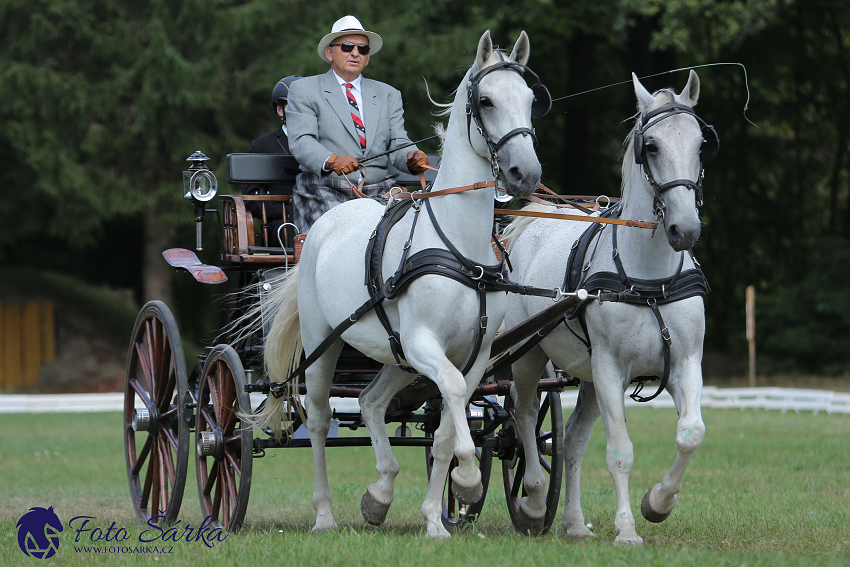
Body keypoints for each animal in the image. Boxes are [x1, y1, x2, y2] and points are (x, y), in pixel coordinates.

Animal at [255, 32, 540, 540]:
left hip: (396, 355)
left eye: (529, 100)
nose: (526, 174)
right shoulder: (425, 343)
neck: (459, 248)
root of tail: (330, 220)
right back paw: (324, 515)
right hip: (324, 342)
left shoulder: (476, 355)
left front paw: (438, 516)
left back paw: (379, 494)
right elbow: (451, 397)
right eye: (486, 101)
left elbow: (447, 426)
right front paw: (468, 480)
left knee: (370, 402)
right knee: (320, 418)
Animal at [504, 71, 708, 544]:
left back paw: (575, 523)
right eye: (651, 146)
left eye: (700, 143)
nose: (685, 229)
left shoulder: (685, 363)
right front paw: (628, 530)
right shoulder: (611, 369)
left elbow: (690, 434)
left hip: (589, 378)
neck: (649, 281)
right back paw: (534, 499)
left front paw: (657, 504)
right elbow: (620, 451)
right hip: (530, 356)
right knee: (524, 417)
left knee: (572, 441)